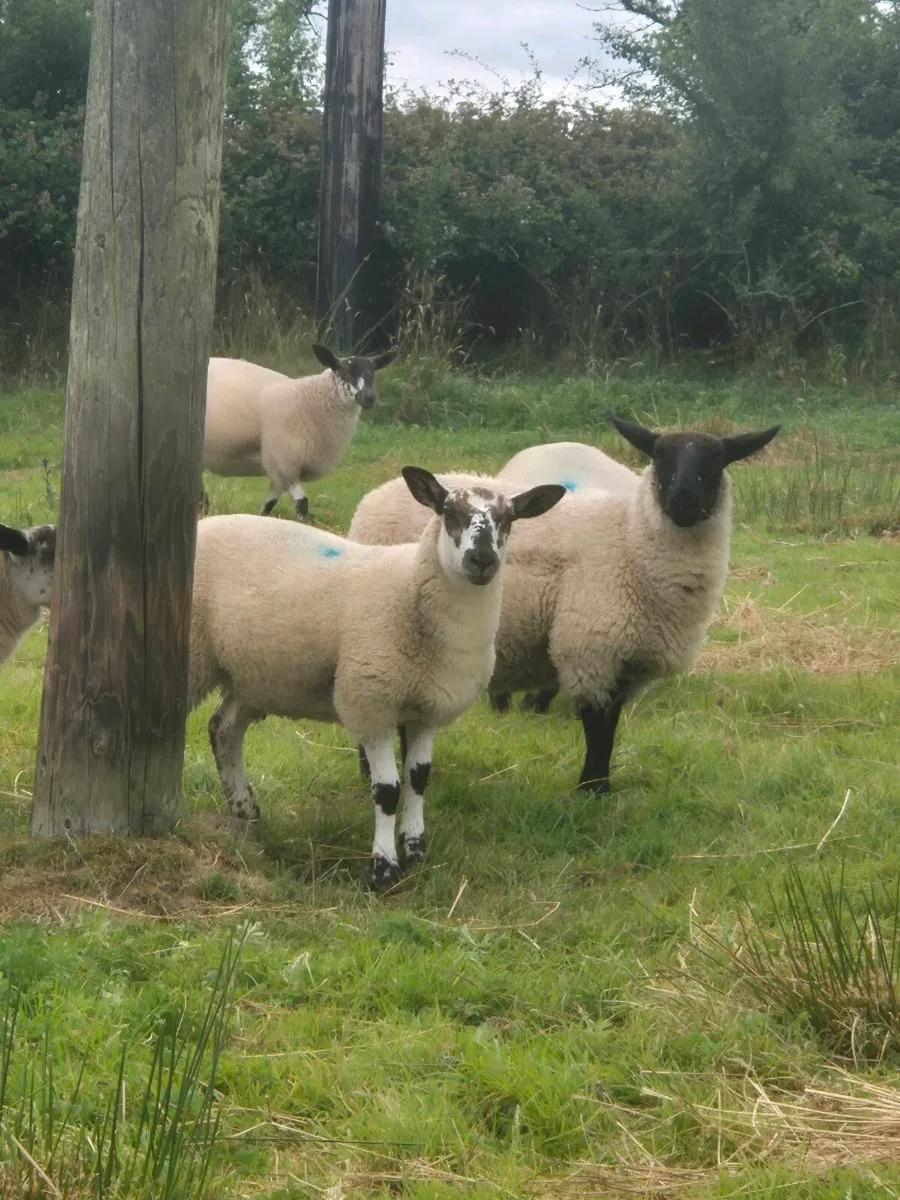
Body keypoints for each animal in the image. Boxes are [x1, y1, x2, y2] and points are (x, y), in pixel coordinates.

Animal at [188, 469, 565, 889]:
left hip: (253, 674)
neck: (410, 588)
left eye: (509, 519)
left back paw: (246, 811)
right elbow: (387, 790)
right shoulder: (371, 703)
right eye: (448, 512)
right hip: (196, 658)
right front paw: (383, 868)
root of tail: (206, 523)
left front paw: (416, 851)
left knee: (224, 729)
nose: (482, 560)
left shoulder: (427, 709)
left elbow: (418, 779)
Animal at [203, 343, 396, 521]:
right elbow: (302, 503)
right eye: (344, 371)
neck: (305, 399)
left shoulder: (278, 468)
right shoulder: (285, 462)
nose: (369, 398)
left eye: (373, 374)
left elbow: (268, 505)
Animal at [348, 415, 780, 794]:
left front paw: (600, 788)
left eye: (716, 460)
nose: (683, 502)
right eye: (659, 456)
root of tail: (374, 496)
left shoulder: (627, 664)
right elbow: (598, 729)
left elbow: (611, 727)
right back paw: (371, 774)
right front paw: (591, 790)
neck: (630, 539)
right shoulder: (591, 649)